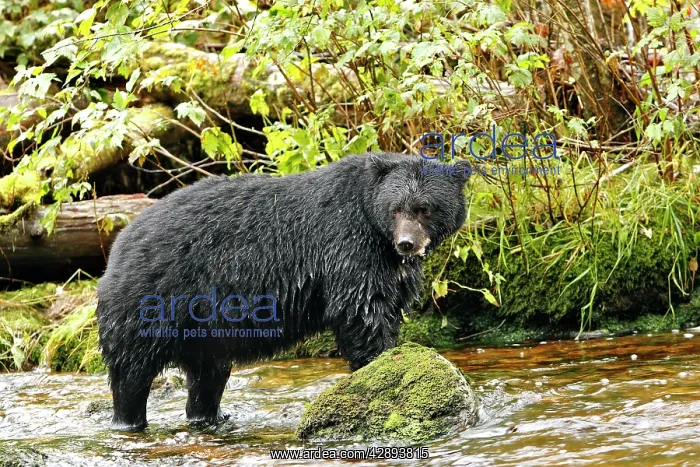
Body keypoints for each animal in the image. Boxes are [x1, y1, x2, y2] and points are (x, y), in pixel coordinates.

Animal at [96, 153, 472, 432]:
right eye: (396, 208)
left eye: (425, 207)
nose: (407, 243)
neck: (373, 224)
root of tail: (120, 242)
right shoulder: (347, 246)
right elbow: (362, 311)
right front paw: (377, 363)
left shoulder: (389, 267)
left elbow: (387, 305)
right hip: (150, 302)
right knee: (132, 372)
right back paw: (128, 420)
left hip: (204, 328)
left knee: (208, 375)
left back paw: (210, 416)